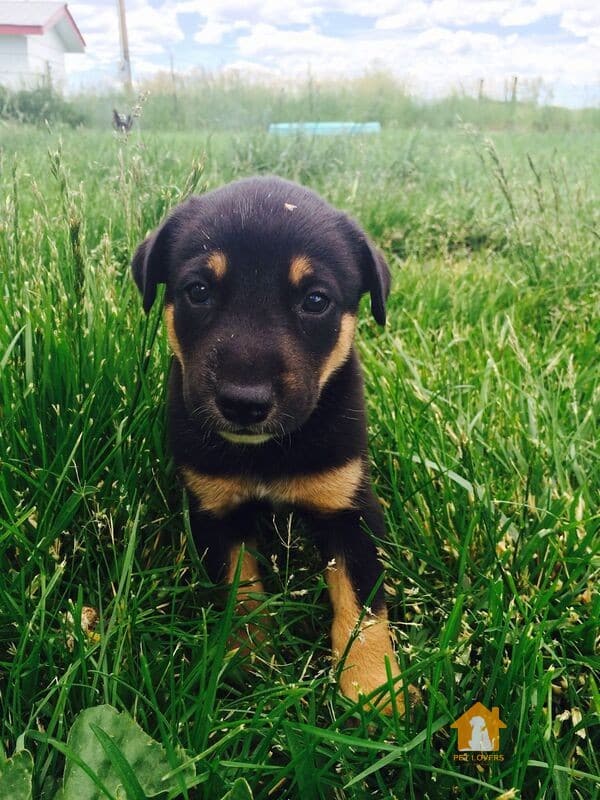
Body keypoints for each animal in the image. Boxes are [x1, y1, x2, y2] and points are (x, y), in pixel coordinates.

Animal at [132, 177, 412, 712]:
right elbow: (240, 591)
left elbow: (362, 603)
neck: (264, 451)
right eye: (198, 291)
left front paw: (372, 690)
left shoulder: (348, 508)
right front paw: (249, 663)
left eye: (316, 300)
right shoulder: (215, 511)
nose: (244, 403)